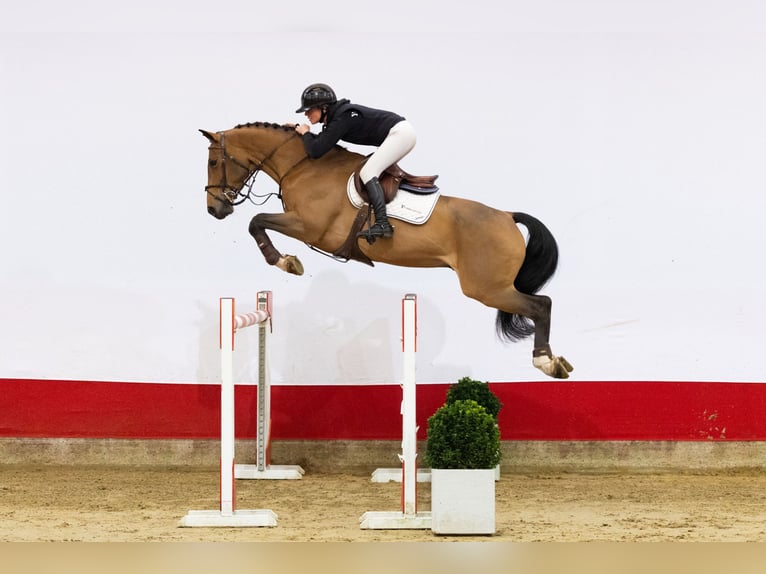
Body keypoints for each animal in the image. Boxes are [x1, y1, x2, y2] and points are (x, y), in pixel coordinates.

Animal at [201, 122, 573, 379]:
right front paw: (285, 260)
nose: (214, 209)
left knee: (541, 305)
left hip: (486, 288)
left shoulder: (310, 227)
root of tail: (507, 216)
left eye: (214, 162)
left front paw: (285, 261)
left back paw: (546, 361)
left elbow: (257, 221)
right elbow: (258, 222)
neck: (303, 165)